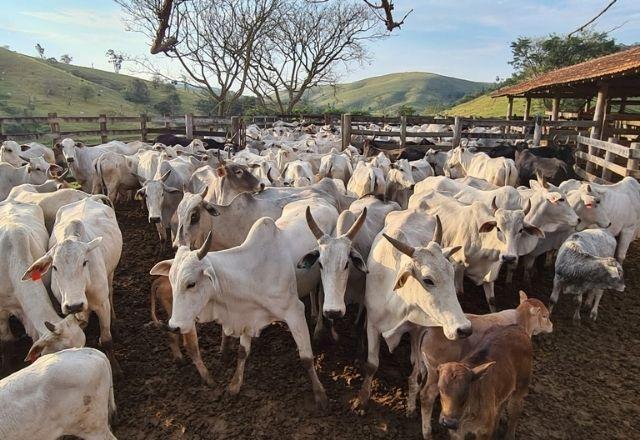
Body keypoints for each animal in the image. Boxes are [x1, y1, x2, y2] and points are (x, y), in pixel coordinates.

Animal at [420, 292, 552, 436]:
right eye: (545, 315)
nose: (551, 326)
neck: (520, 321)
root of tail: (429, 329)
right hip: (435, 374)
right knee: (427, 396)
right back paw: (427, 432)